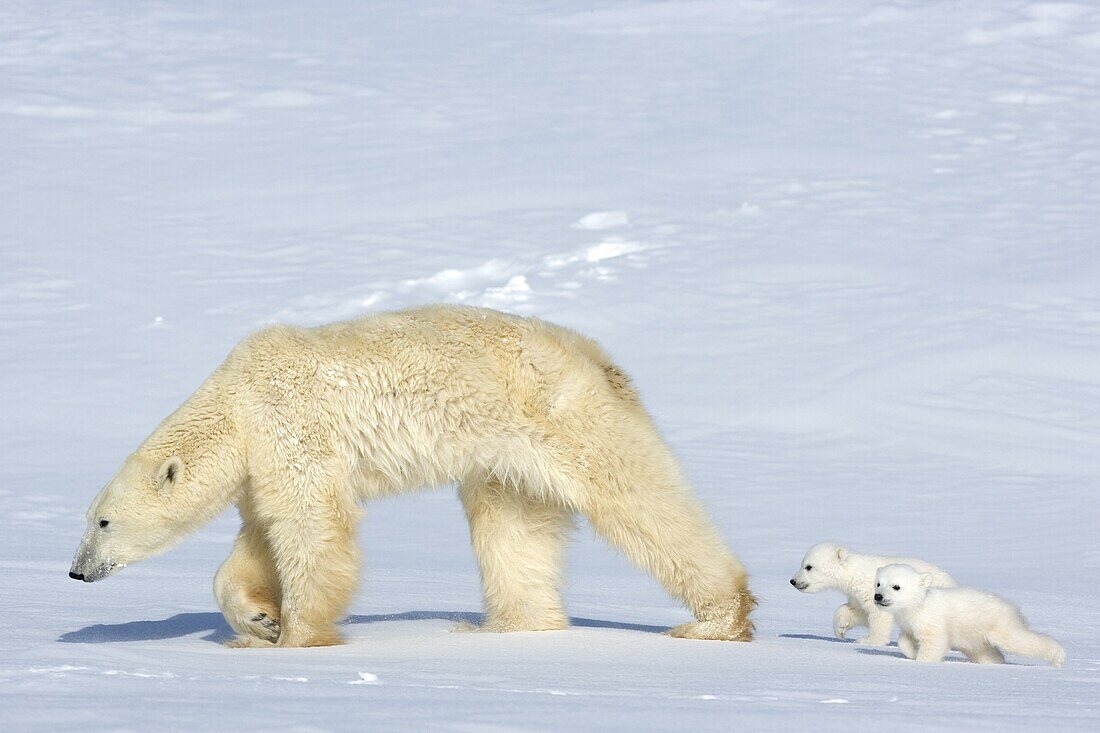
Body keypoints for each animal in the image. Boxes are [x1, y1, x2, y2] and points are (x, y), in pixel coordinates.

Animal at [70, 301, 756, 647]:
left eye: (102, 521)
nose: (76, 571)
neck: (235, 402)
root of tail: (597, 356)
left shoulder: (290, 425)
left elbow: (313, 528)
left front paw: (299, 637)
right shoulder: (262, 465)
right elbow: (260, 539)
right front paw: (259, 623)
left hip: (563, 417)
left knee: (637, 498)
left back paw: (715, 618)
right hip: (506, 460)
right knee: (511, 530)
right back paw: (504, 627)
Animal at [792, 539, 954, 642]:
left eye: (808, 567)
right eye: (803, 564)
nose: (793, 581)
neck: (855, 573)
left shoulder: (873, 591)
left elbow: (878, 615)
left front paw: (870, 641)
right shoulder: (856, 594)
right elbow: (858, 612)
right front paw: (841, 628)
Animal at [871, 561, 1060, 664]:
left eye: (896, 586)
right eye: (878, 583)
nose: (878, 596)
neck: (917, 606)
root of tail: (1012, 607)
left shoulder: (932, 620)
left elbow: (935, 642)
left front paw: (923, 661)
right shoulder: (908, 622)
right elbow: (905, 639)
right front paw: (911, 652)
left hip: (999, 624)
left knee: (1019, 640)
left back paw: (1057, 656)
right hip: (975, 638)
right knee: (986, 653)